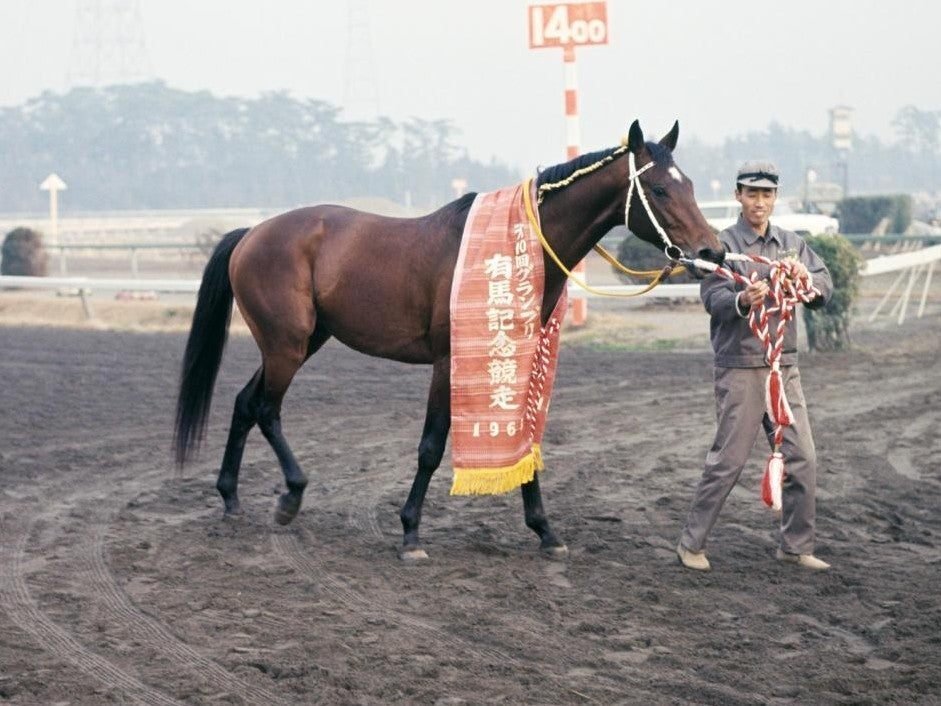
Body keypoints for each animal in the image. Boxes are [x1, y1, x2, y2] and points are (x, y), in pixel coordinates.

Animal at [173, 119, 725, 560]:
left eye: (691, 184)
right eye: (658, 189)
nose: (712, 252)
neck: (520, 248)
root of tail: (250, 234)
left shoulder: (518, 359)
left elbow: (524, 443)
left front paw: (545, 531)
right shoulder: (447, 361)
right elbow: (431, 448)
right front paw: (410, 532)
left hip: (304, 341)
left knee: (246, 403)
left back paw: (230, 498)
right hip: (287, 344)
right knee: (266, 409)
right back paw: (291, 494)